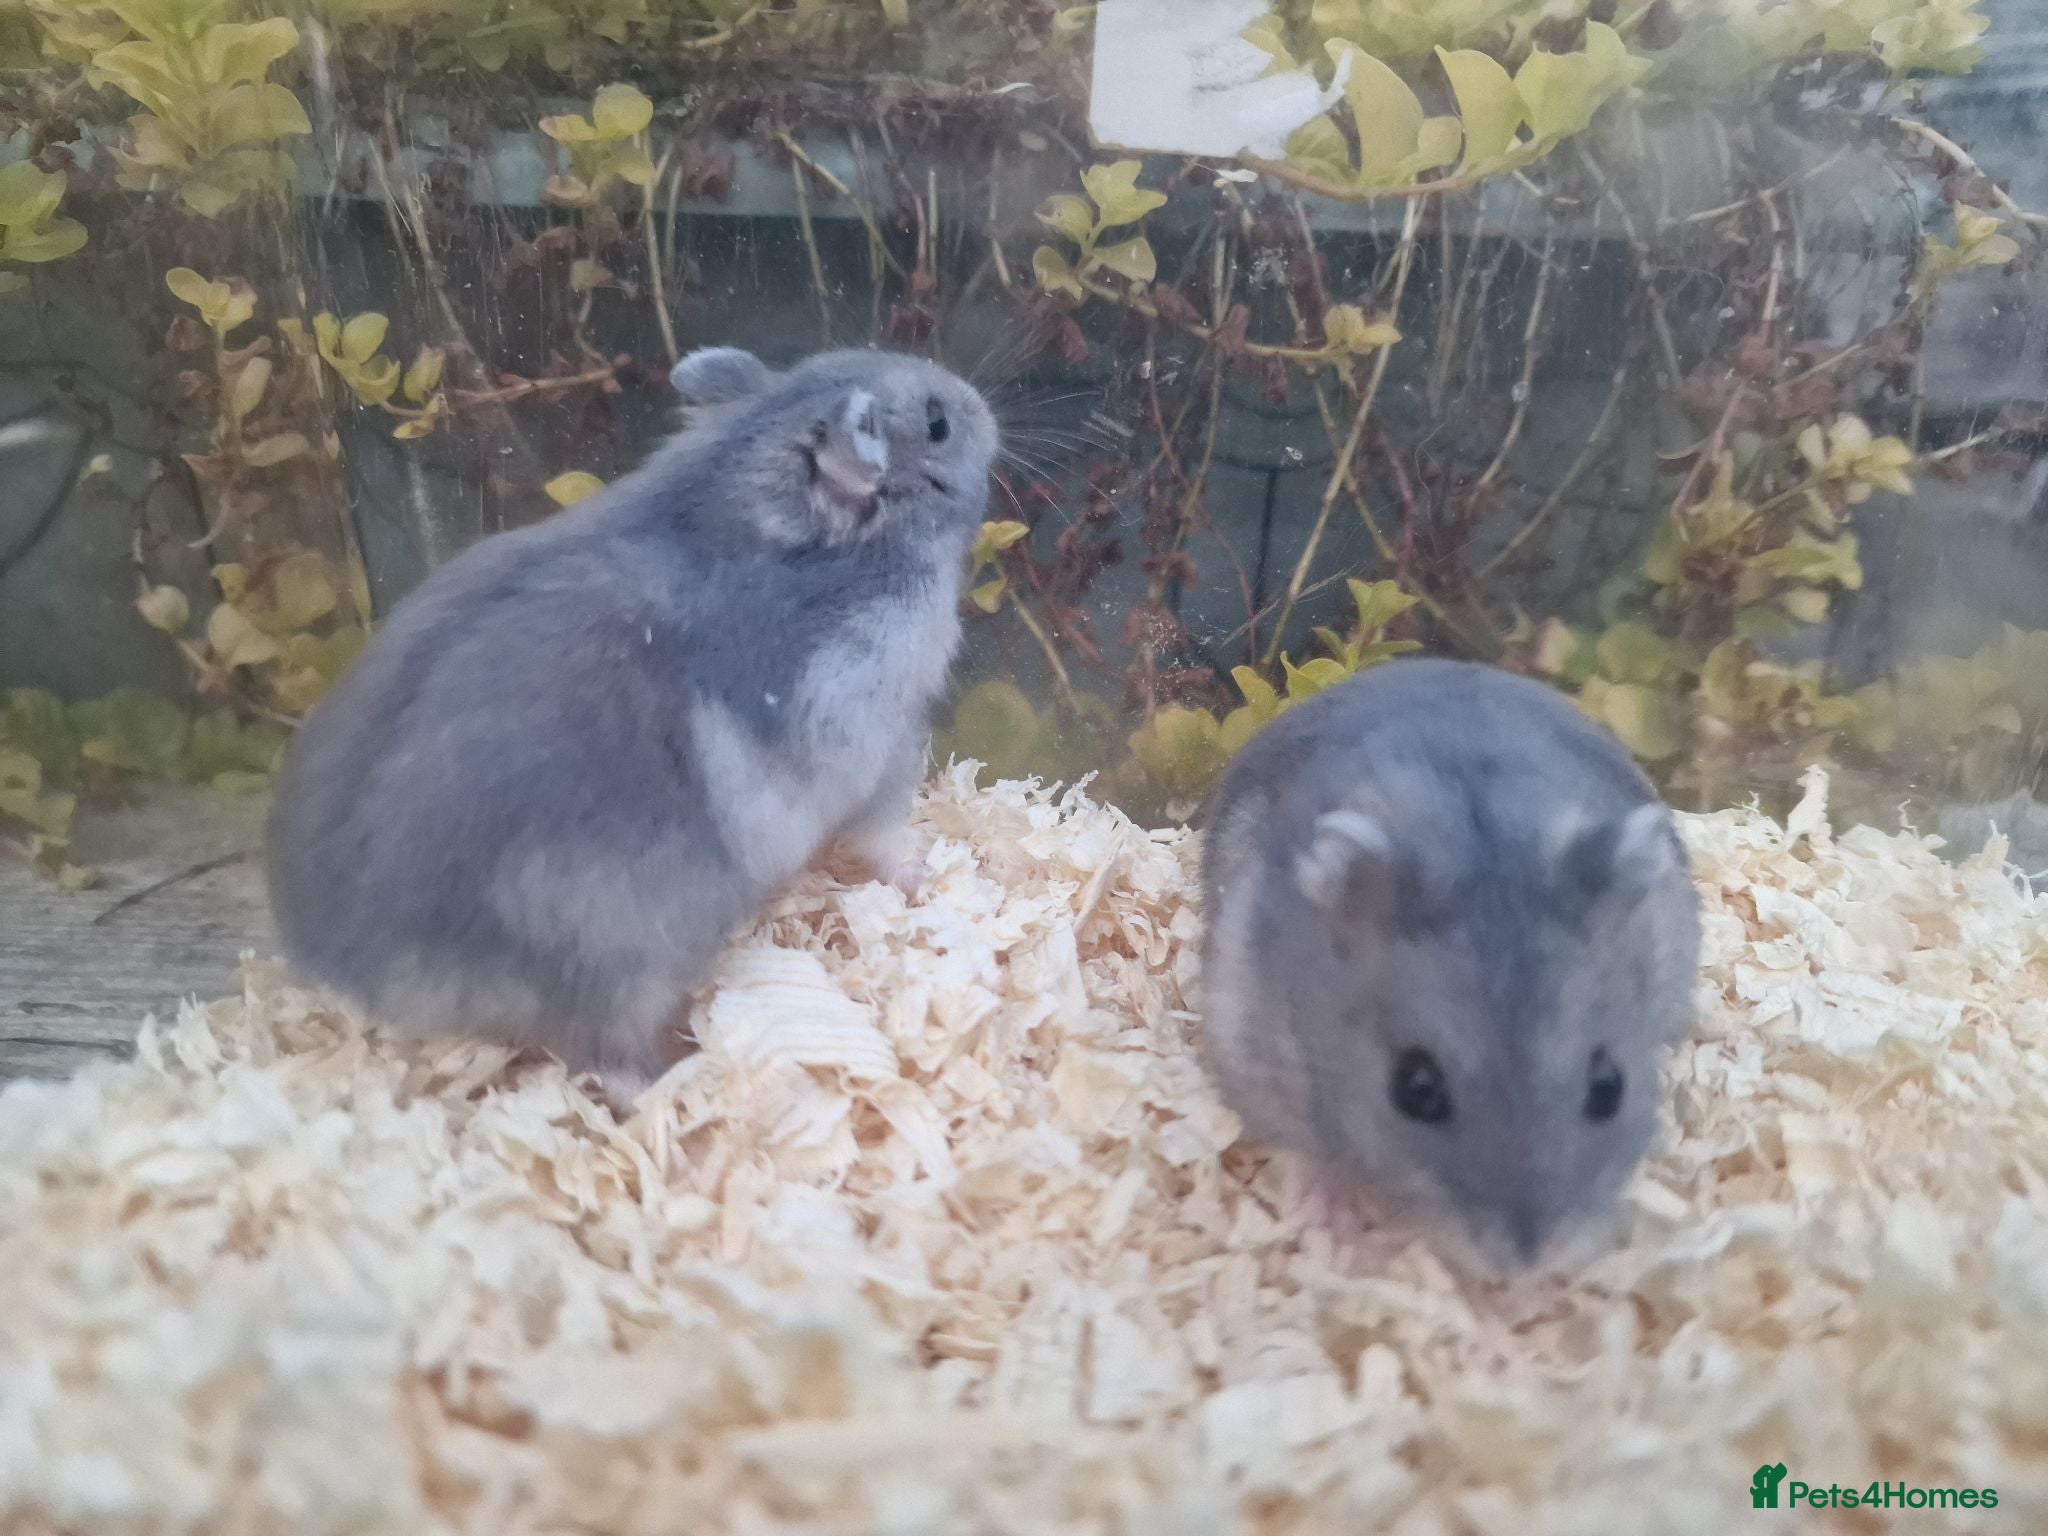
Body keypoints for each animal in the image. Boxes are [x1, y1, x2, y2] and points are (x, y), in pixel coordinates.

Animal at [265, 346, 1000, 1097]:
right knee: (604, 1060)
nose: (979, 400)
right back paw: (675, 1083)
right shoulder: (885, 750)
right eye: (938, 423)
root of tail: (349, 972)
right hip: (618, 960)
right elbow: (886, 839)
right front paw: (930, 875)